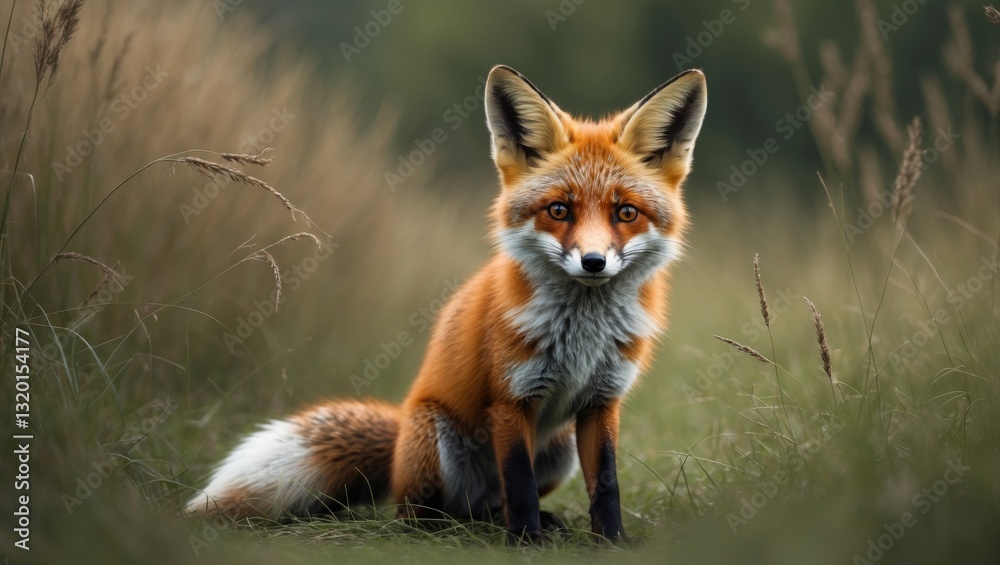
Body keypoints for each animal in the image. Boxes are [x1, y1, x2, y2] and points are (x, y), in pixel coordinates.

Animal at [186, 64, 707, 544]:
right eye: (559, 210)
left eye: (626, 212)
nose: (594, 262)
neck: (582, 335)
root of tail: (399, 436)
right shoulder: (510, 398)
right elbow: (518, 481)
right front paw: (526, 543)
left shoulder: (603, 400)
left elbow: (607, 484)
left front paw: (611, 541)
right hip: (438, 442)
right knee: (423, 514)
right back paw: (460, 527)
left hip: (558, 450)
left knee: (491, 504)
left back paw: (518, 521)